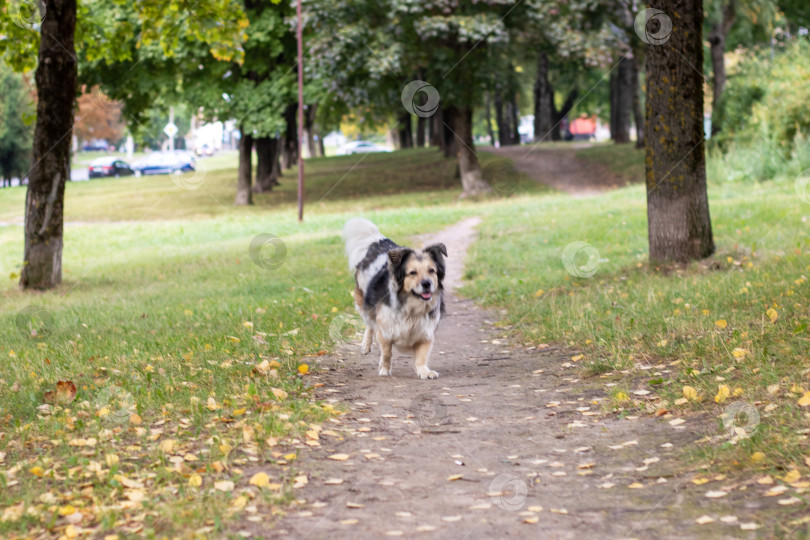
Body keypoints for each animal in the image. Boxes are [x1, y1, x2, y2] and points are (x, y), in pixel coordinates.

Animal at [340, 218, 446, 380]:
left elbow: (422, 355)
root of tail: (379, 243)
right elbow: (387, 352)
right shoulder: (385, 330)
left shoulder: (425, 332)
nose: (427, 284)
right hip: (362, 302)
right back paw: (366, 345)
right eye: (412, 273)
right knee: (369, 323)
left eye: (431, 271)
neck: (411, 307)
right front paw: (384, 369)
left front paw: (424, 371)